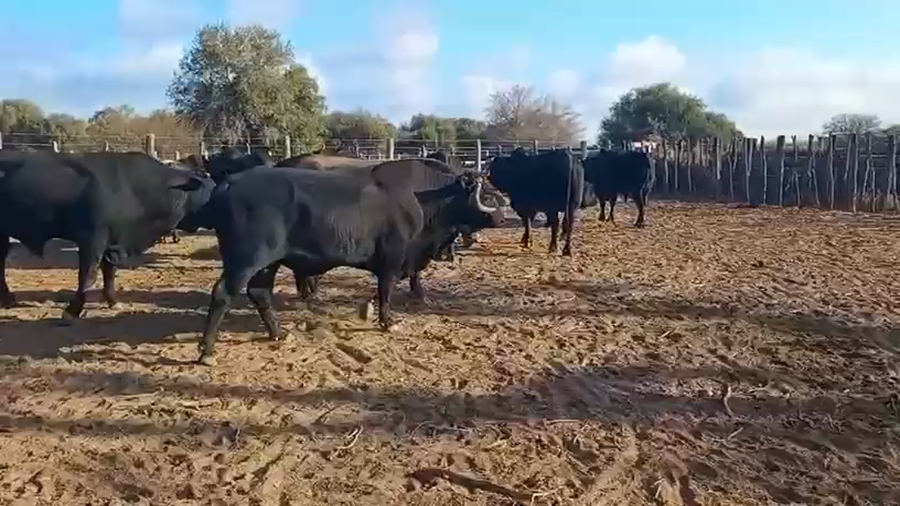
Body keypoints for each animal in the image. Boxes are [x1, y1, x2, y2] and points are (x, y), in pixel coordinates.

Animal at [0, 151, 214, 319]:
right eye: (209, 187)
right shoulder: (92, 240)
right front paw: (73, 310)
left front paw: (112, 300)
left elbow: (109, 272)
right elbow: (88, 275)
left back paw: (8, 299)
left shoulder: (115, 242)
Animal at [194, 159, 504, 365]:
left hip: (267, 264)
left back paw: (278, 333)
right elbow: (386, 289)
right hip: (245, 260)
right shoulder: (393, 256)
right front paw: (387, 322)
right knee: (222, 294)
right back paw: (207, 351)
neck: (421, 197)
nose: (501, 217)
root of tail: (229, 183)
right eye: (487, 193)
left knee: (260, 293)